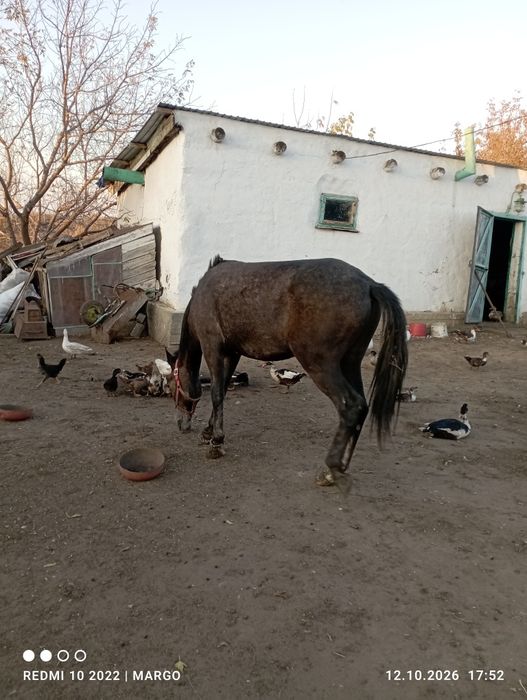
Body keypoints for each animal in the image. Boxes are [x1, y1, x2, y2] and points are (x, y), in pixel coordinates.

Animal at [174, 256, 408, 489]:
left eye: (174, 385)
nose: (181, 424)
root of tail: (369, 284)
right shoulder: (232, 353)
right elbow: (222, 389)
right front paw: (208, 432)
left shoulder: (212, 347)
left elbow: (216, 393)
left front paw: (216, 442)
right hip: (350, 361)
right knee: (362, 407)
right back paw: (343, 465)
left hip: (319, 364)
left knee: (351, 405)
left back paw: (330, 468)